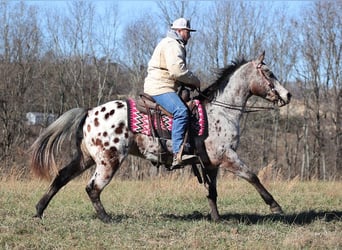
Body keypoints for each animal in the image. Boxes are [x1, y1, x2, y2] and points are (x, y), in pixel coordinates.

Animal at [30, 51, 292, 223]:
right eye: (269, 73)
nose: (288, 95)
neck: (220, 111)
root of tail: (89, 112)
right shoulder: (227, 157)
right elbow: (252, 176)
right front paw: (275, 206)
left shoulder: (210, 163)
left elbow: (212, 192)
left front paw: (217, 219)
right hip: (108, 160)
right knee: (92, 188)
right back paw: (107, 218)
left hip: (86, 158)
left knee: (61, 177)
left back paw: (39, 210)